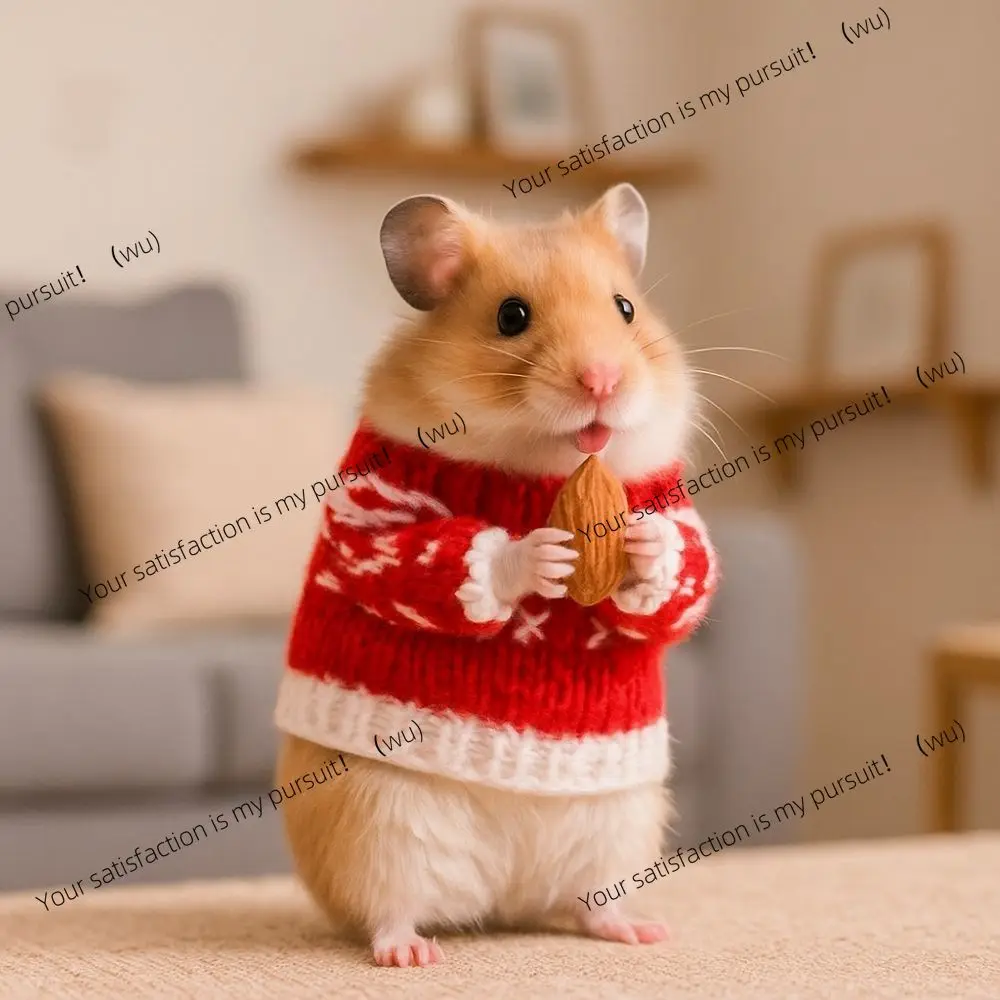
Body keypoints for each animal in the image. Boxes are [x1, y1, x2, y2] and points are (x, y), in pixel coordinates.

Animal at [276, 183, 713, 967]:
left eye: (625, 309)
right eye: (512, 317)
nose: (603, 380)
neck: (546, 458)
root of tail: (503, 899)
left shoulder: (679, 507)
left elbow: (689, 572)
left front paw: (642, 544)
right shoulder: (374, 513)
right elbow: (426, 558)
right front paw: (542, 554)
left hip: (619, 829)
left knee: (589, 902)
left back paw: (640, 931)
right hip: (375, 821)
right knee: (386, 908)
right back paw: (410, 953)